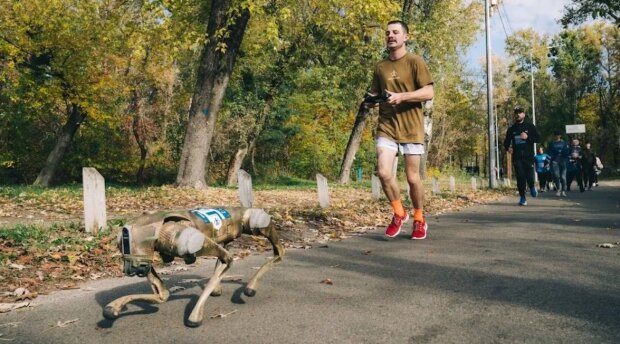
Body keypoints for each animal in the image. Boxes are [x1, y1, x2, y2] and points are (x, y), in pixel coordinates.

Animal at [103, 207, 284, 328]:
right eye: (122, 245)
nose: (129, 270)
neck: (161, 231)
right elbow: (163, 295)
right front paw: (114, 307)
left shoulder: (195, 244)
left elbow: (227, 260)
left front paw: (195, 317)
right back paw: (221, 290)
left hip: (256, 224)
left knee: (279, 251)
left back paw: (250, 287)